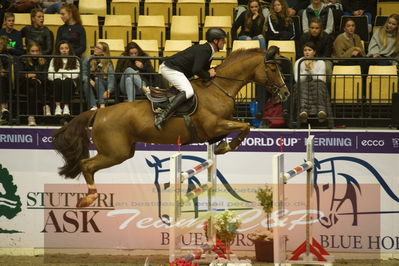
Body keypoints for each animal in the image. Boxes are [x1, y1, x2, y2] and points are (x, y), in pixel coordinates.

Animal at [52, 47, 290, 207]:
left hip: (123, 152)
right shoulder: (214, 125)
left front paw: (222, 146)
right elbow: (244, 127)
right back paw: (89, 198)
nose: (286, 93)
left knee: (86, 165)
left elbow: (241, 127)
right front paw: (227, 147)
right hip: (115, 153)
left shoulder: (217, 129)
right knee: (86, 165)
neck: (219, 88)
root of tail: (98, 112)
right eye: (271, 68)